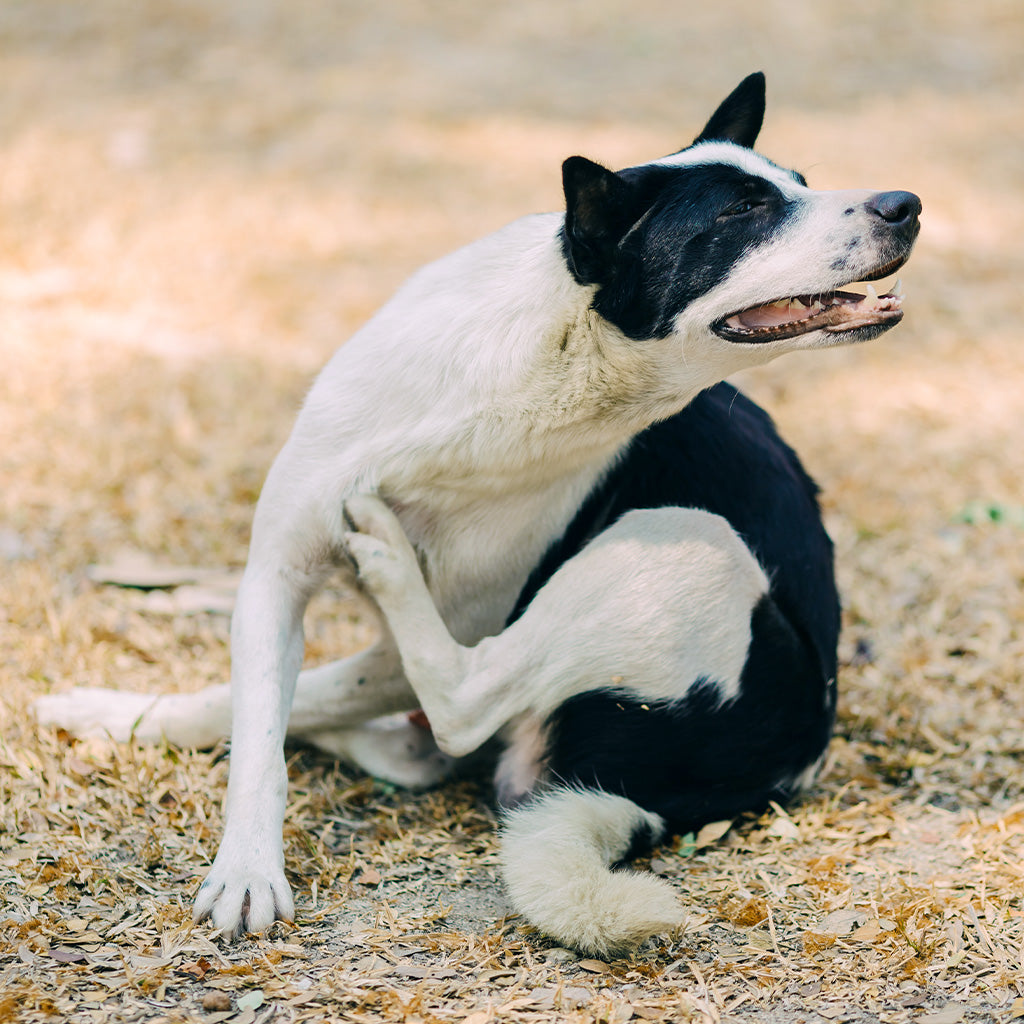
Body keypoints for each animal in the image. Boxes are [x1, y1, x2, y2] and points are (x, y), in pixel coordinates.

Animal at [37, 74, 921, 958]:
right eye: (744, 211)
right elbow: (258, 727)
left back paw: (385, 565)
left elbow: (304, 700)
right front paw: (237, 853)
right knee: (402, 734)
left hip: (688, 540)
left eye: (795, 184)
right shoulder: (276, 573)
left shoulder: (450, 622)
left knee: (459, 704)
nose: (906, 203)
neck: (545, 364)